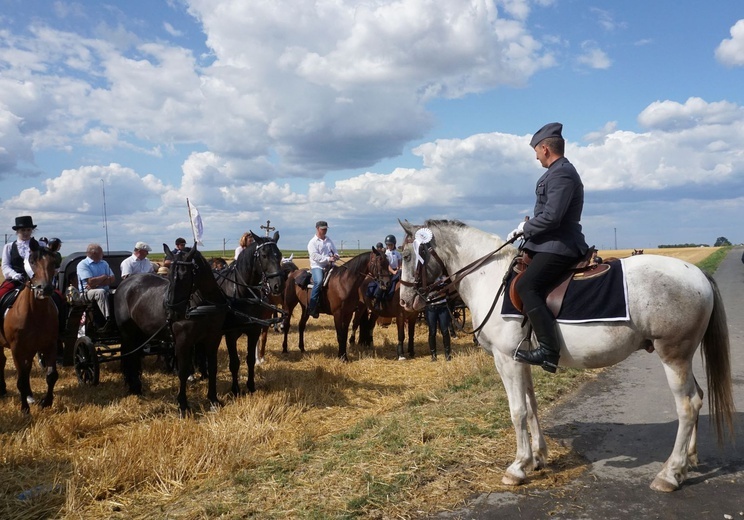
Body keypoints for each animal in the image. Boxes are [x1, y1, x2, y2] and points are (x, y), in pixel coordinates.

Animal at [0, 240, 58, 414]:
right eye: (32, 261)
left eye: (54, 262)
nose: (44, 289)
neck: (35, 313)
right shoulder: (17, 349)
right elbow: (20, 380)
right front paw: (24, 409)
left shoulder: (50, 345)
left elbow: (51, 375)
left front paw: (46, 402)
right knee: (4, 362)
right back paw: (4, 390)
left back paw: (29, 395)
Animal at [114, 244, 227, 414]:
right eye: (169, 275)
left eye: (185, 276)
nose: (173, 312)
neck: (204, 305)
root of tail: (125, 284)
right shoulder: (183, 341)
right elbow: (183, 371)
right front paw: (182, 405)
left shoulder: (213, 339)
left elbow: (212, 368)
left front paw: (213, 400)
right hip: (128, 333)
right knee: (131, 357)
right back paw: (135, 388)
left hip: (141, 333)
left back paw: (137, 387)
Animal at [217, 232, 286, 394]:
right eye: (264, 255)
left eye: (279, 255)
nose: (278, 285)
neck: (242, 294)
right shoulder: (230, 335)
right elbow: (234, 362)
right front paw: (235, 389)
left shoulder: (254, 331)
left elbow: (250, 360)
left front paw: (251, 386)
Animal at [398, 218, 736, 492]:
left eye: (405, 256)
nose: (403, 302)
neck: (489, 277)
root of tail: (697, 274)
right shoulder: (523, 359)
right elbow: (532, 407)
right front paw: (537, 457)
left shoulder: (506, 360)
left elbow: (517, 411)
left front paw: (517, 467)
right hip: (683, 357)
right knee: (698, 396)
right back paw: (687, 461)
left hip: (673, 356)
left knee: (687, 406)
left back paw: (669, 474)